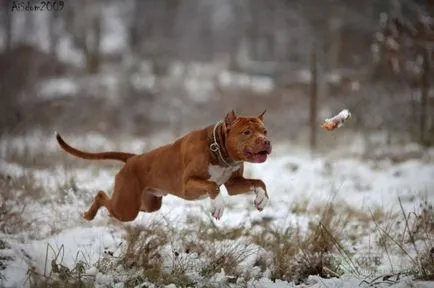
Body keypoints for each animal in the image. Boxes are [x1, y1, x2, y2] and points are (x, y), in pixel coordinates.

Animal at [54, 109, 272, 220]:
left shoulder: (234, 184)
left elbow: (259, 182)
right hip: (127, 207)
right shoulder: (187, 185)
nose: (266, 141)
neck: (218, 148)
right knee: (101, 195)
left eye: (264, 131)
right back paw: (88, 214)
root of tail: (133, 158)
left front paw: (261, 199)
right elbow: (212, 185)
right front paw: (218, 205)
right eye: (247, 132)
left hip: (147, 204)